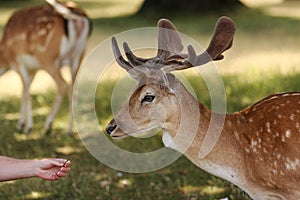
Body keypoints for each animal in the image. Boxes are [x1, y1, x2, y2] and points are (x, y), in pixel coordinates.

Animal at [0, 0, 91, 134]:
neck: (5, 57)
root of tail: (78, 16)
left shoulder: (19, 62)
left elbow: (26, 92)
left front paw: (27, 127)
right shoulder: (33, 69)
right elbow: (24, 89)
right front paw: (20, 124)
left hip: (48, 57)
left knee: (63, 84)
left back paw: (48, 125)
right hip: (78, 57)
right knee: (73, 88)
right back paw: (69, 130)